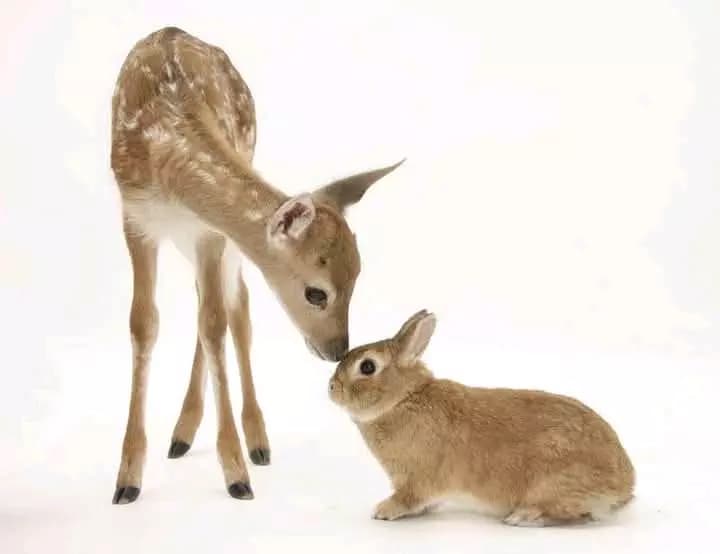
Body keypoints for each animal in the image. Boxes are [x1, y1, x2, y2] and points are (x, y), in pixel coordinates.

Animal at [110, 26, 403, 504]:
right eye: (317, 292)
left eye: (358, 278)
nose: (337, 350)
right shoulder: (135, 217)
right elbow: (144, 323)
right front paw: (127, 480)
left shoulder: (208, 231)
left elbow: (214, 324)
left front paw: (236, 472)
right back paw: (182, 435)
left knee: (235, 307)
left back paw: (252, 441)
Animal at [328, 310, 635, 526]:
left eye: (368, 367)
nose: (332, 388)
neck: (403, 399)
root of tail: (624, 486)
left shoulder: (418, 479)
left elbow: (410, 498)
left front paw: (383, 510)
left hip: (554, 484)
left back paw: (522, 516)